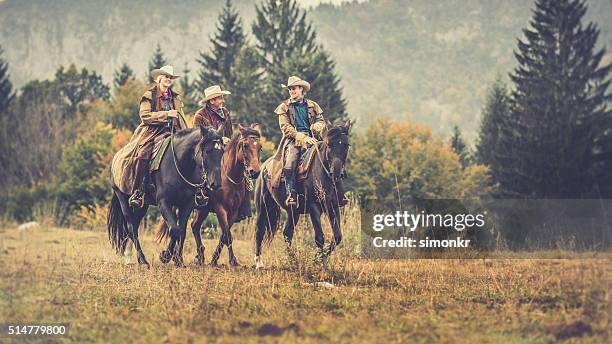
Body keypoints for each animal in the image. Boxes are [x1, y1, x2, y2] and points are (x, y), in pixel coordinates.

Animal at [108, 125, 225, 268]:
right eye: (207, 151)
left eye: (222, 152)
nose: (216, 184)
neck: (179, 165)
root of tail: (116, 158)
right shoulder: (163, 202)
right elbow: (174, 229)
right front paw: (166, 256)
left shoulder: (186, 204)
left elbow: (181, 231)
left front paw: (179, 260)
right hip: (123, 199)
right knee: (131, 229)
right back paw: (143, 261)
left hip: (142, 206)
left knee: (134, 226)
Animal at [157, 123, 262, 266]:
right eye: (245, 145)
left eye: (260, 147)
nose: (255, 172)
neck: (229, 176)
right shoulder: (220, 208)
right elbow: (227, 236)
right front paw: (232, 261)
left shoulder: (233, 212)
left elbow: (224, 236)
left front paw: (215, 260)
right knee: (182, 227)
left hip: (203, 209)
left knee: (193, 226)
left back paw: (199, 257)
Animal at [253, 120, 352, 268]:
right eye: (329, 144)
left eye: (346, 145)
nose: (336, 173)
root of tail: (265, 166)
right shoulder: (314, 208)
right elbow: (319, 237)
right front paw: (317, 260)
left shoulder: (333, 207)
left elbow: (337, 236)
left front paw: (321, 259)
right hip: (263, 207)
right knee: (259, 231)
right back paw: (259, 262)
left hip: (293, 212)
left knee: (287, 233)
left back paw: (293, 260)